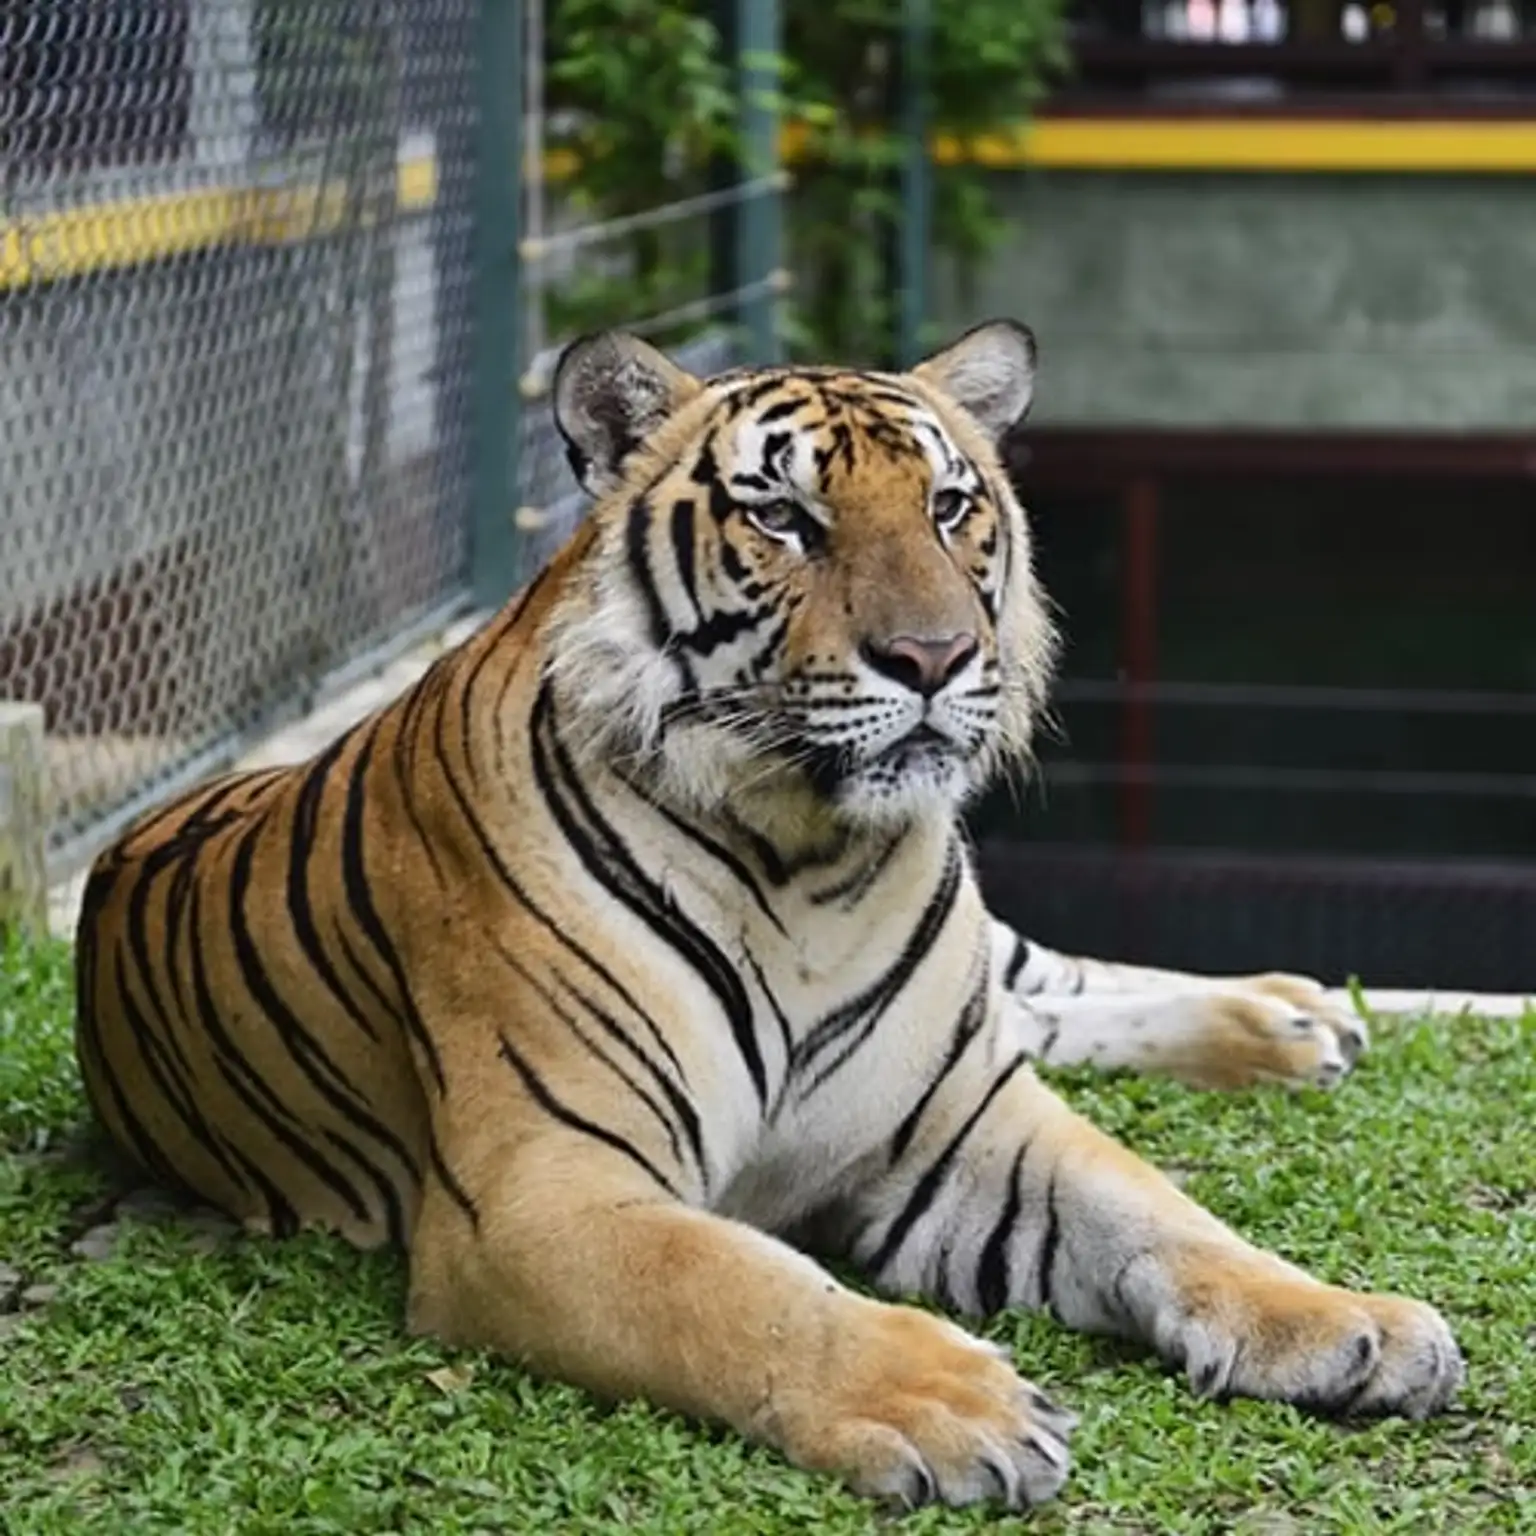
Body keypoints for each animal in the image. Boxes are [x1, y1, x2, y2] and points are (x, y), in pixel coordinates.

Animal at [73, 320, 1460, 1511]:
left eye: (949, 507)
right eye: (785, 517)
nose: (935, 657)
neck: (812, 864)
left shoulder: (963, 1124)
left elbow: (1162, 1213)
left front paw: (1349, 1322)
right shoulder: (543, 1193)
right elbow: (740, 1287)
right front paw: (952, 1401)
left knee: (1051, 984)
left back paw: (1286, 1018)